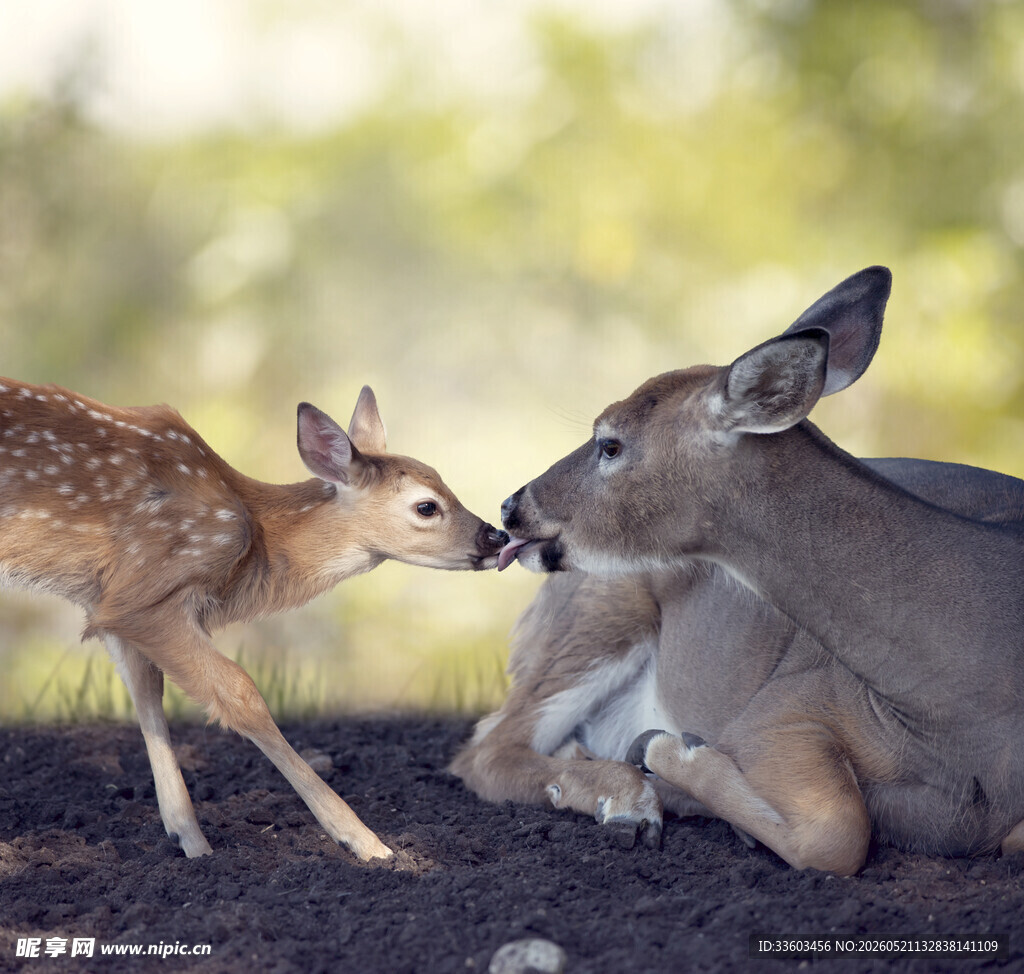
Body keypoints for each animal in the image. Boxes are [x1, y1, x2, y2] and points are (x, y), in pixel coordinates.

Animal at [0, 380, 508, 861]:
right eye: (427, 506)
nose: (496, 535)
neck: (254, 536)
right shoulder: (145, 590)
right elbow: (241, 694)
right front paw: (365, 842)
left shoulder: (107, 601)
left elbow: (147, 694)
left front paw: (190, 842)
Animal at [452, 266, 1024, 875]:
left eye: (610, 444)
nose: (512, 506)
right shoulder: (783, 708)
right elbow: (839, 833)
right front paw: (670, 754)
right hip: (596, 613)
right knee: (488, 748)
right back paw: (631, 800)